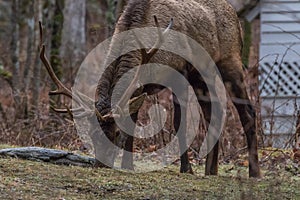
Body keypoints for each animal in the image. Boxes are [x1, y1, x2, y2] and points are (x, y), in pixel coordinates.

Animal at [39, 0, 260, 178]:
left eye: (116, 134)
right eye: (92, 134)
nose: (100, 164)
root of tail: (235, 14)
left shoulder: (179, 73)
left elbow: (179, 123)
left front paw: (186, 169)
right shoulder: (140, 87)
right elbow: (133, 122)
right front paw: (128, 165)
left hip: (230, 62)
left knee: (247, 111)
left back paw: (254, 173)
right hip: (202, 75)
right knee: (215, 112)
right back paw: (211, 171)